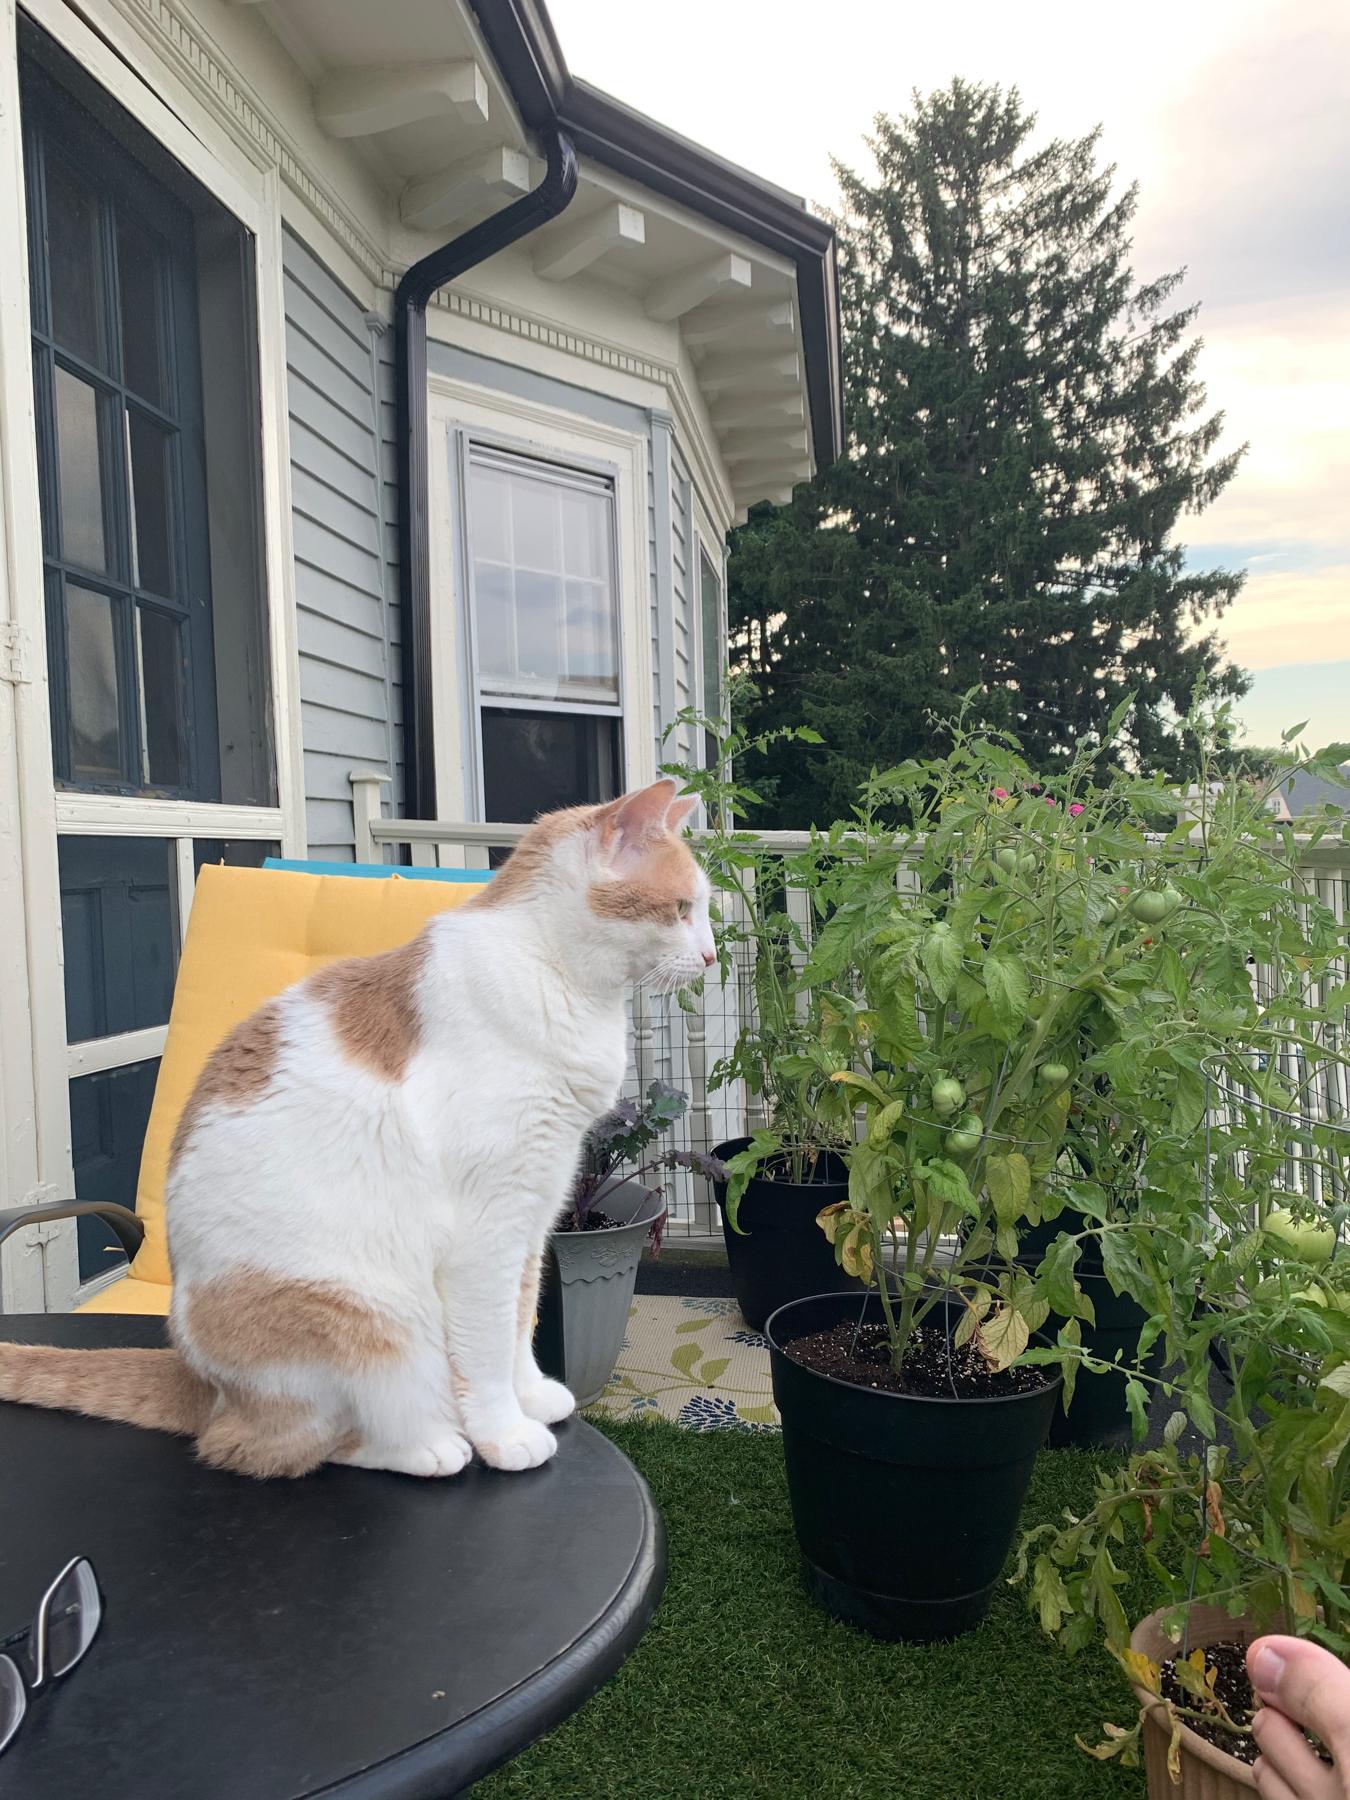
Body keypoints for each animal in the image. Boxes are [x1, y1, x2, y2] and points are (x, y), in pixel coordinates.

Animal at [0, 781, 720, 1483]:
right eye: (683, 908)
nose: (712, 955)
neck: (559, 976)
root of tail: (196, 1378)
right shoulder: (488, 1230)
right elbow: (486, 1348)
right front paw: (506, 1433)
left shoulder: (533, 1215)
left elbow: (518, 1323)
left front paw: (533, 1397)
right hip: (369, 1317)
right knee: (266, 1446)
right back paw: (432, 1447)